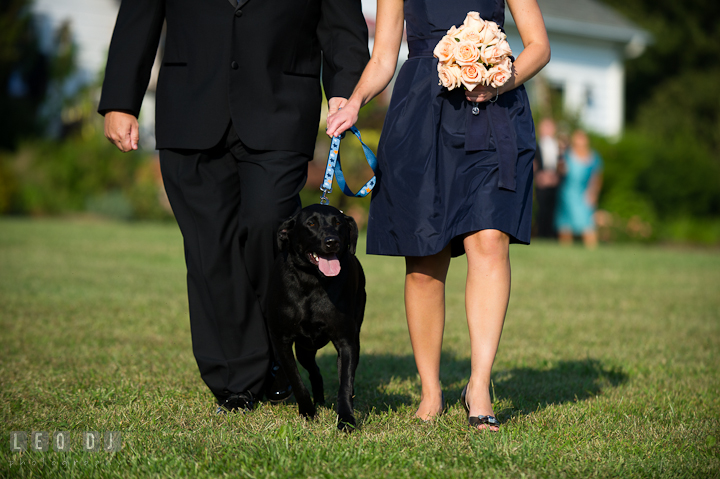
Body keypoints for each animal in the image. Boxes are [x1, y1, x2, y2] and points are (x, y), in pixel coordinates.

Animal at [266, 203, 366, 432]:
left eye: (338, 223)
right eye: (311, 224)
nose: (332, 241)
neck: (312, 281)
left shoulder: (347, 342)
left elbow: (345, 383)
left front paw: (346, 419)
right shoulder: (282, 341)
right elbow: (296, 380)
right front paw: (308, 412)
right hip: (304, 350)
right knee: (314, 371)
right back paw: (317, 401)